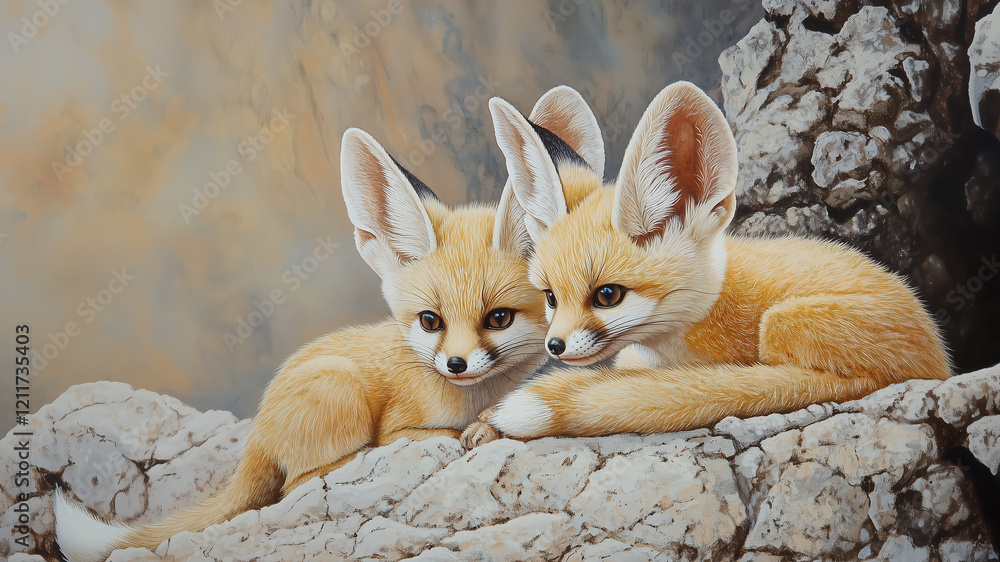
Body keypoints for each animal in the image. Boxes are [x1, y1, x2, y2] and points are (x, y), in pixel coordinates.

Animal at [54, 86, 606, 562]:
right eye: (430, 320)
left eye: (498, 318)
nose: (454, 364)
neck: (471, 397)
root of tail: (258, 433)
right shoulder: (398, 424)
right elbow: (421, 436)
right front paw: (463, 434)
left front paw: (489, 428)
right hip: (340, 391)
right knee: (295, 485)